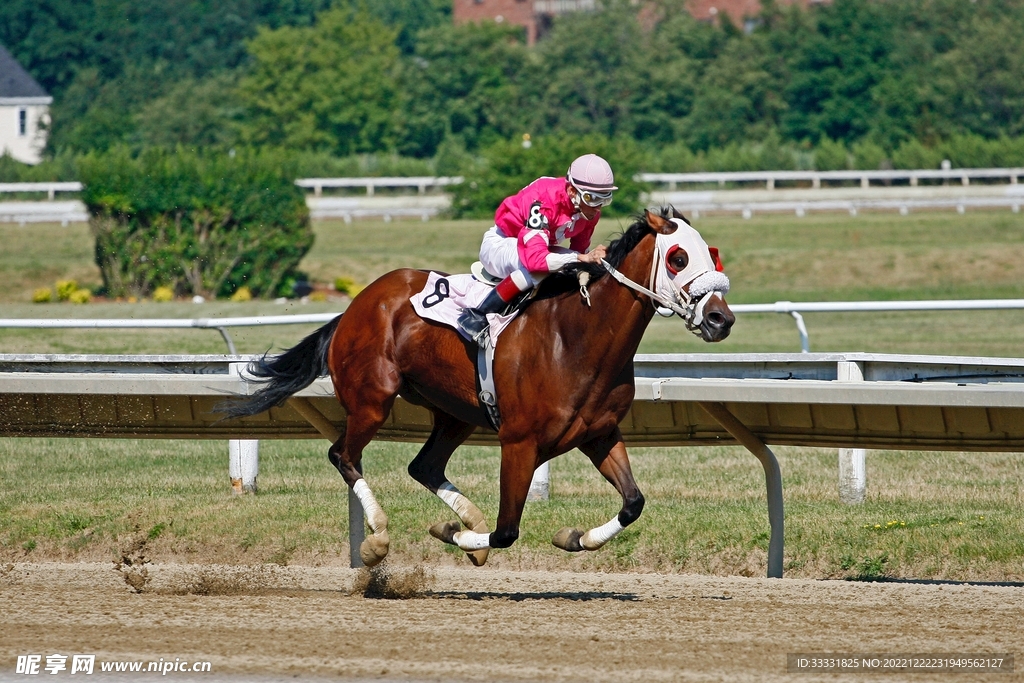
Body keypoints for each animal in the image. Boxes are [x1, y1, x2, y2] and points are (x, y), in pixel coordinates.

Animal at [221, 207, 735, 567]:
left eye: (713, 254)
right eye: (678, 258)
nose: (720, 319)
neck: (575, 338)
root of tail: (355, 305)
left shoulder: (599, 433)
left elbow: (633, 503)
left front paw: (572, 537)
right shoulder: (520, 442)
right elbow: (508, 530)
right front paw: (455, 535)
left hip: (454, 413)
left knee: (424, 466)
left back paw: (465, 521)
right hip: (372, 400)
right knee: (344, 455)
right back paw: (379, 540)